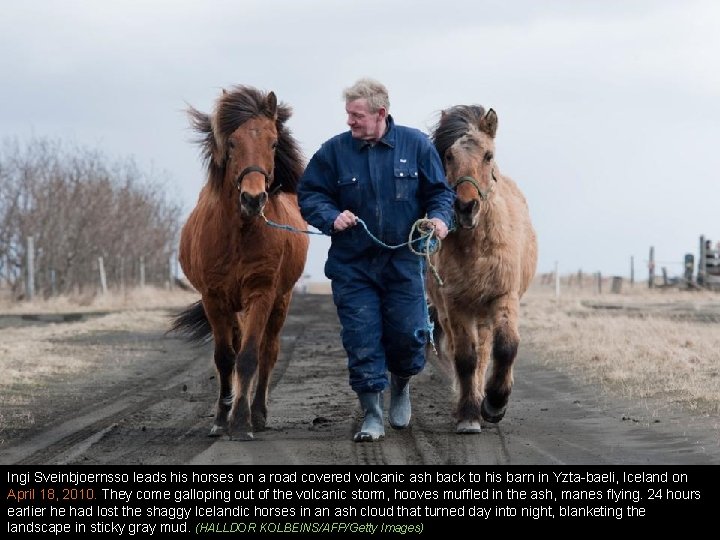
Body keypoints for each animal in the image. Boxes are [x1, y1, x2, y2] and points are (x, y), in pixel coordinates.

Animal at [173, 84, 310, 438]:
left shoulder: (261, 293)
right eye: (232, 143)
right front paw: (222, 418)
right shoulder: (214, 298)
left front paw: (241, 420)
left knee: (268, 351)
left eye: (273, 142)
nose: (253, 198)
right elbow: (225, 358)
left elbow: (249, 356)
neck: (238, 233)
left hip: (280, 300)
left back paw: (257, 412)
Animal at [424, 105, 536, 434]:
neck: (477, 246)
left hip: (485, 313)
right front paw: (469, 414)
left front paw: (495, 404)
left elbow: (506, 347)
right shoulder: (456, 305)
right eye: (449, 156)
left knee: (487, 351)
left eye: (488, 155)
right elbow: (465, 358)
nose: (465, 207)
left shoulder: (504, 297)